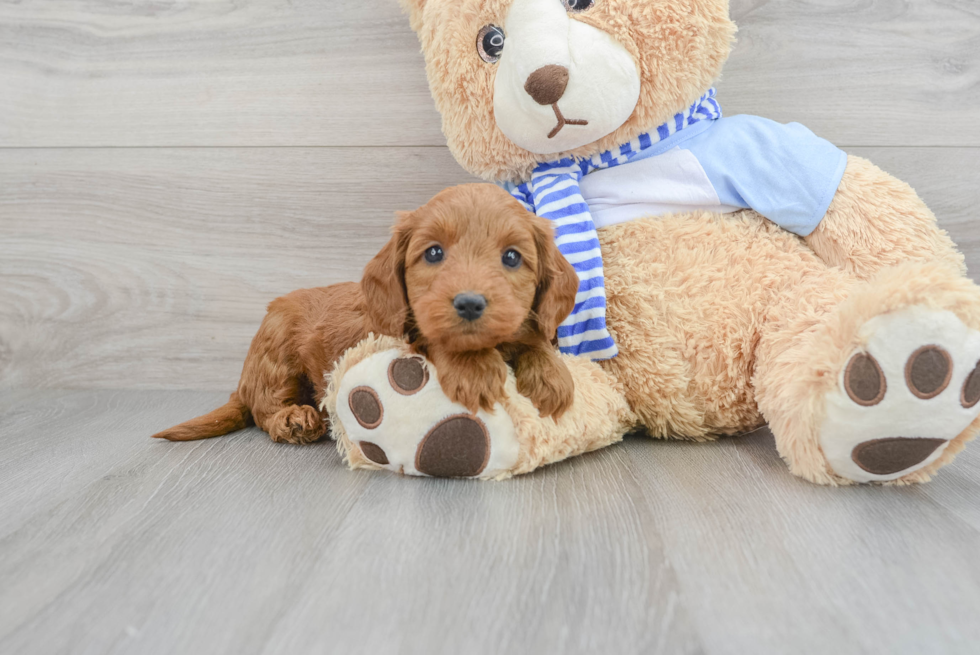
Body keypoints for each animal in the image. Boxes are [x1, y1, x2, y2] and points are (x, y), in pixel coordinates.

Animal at [154, 182, 580, 444]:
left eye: (512, 257)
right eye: (434, 253)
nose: (470, 303)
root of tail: (242, 382)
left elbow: (533, 340)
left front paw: (551, 375)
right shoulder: (395, 336)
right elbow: (434, 340)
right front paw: (473, 370)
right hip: (276, 351)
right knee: (264, 408)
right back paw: (293, 420)